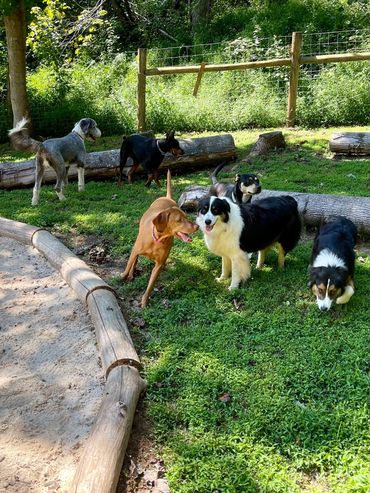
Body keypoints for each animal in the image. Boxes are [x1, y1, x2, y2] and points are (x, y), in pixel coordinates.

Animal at [122, 169, 198, 308]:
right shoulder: (135, 250)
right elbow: (129, 264)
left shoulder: (158, 265)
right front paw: (122, 277)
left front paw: (144, 302)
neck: (157, 240)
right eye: (179, 220)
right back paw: (130, 274)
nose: (197, 226)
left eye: (186, 216)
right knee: (134, 260)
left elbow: (150, 285)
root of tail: (167, 197)